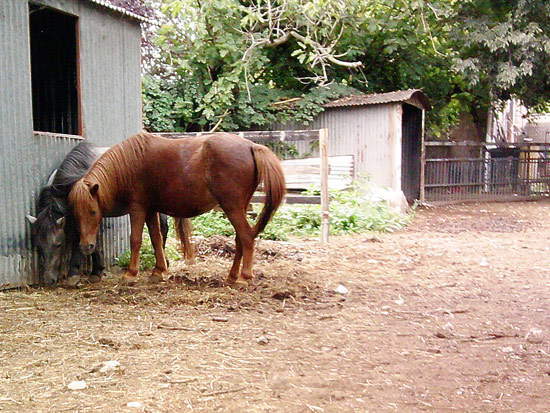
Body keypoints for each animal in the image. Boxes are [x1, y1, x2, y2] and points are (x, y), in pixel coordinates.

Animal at [27, 141, 169, 284]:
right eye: (38, 247)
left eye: (58, 244)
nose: (48, 280)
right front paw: (95, 271)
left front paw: (78, 273)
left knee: (162, 229)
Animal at [67, 131, 286, 284]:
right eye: (76, 214)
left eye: (93, 212)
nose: (86, 246)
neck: (128, 166)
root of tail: (251, 146)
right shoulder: (151, 210)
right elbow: (156, 239)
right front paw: (158, 271)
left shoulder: (137, 208)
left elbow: (136, 240)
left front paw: (131, 274)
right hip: (237, 208)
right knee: (241, 238)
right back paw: (232, 275)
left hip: (231, 207)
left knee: (246, 237)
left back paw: (244, 276)